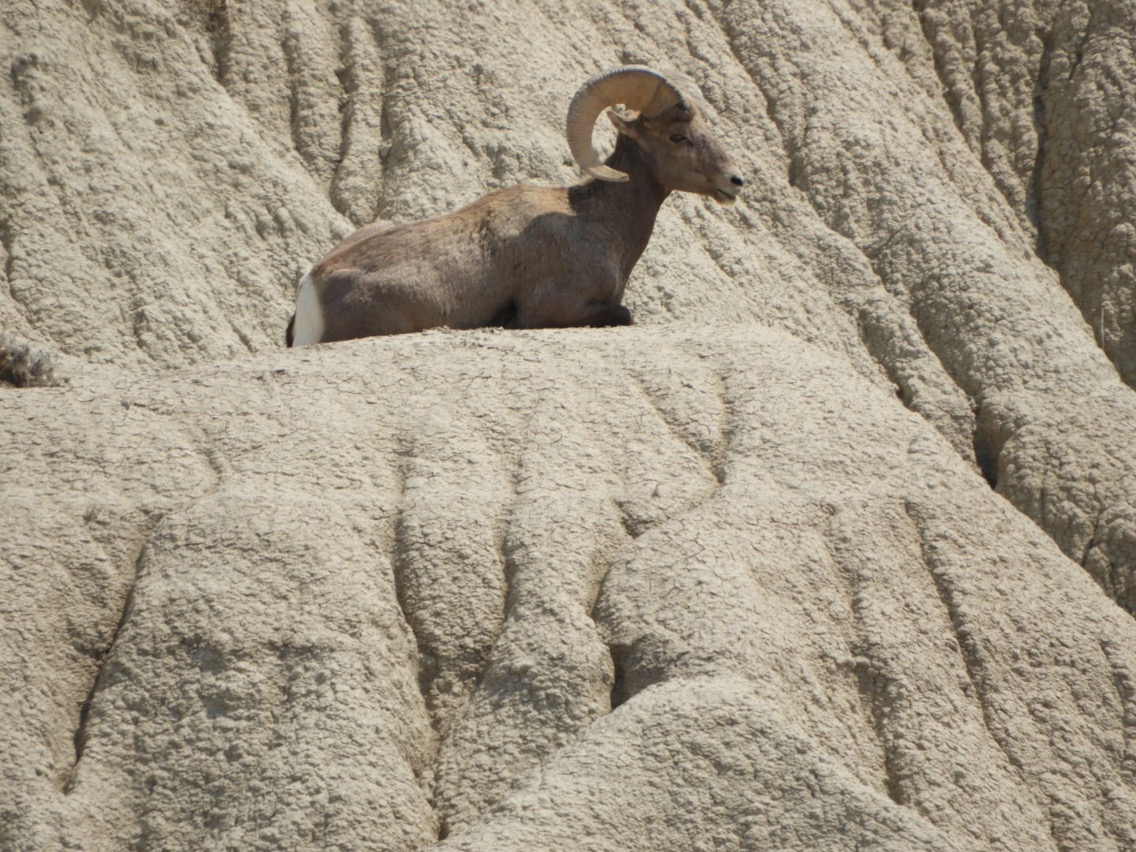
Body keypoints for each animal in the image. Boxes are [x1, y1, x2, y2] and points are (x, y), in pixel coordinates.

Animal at [286, 65, 743, 346]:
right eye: (678, 136)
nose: (734, 181)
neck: (594, 222)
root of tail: (313, 287)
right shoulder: (554, 308)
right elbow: (624, 313)